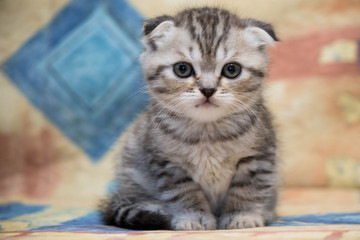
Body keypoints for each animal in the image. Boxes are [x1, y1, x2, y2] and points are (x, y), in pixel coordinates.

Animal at [101, 7, 278, 231]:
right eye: (182, 69)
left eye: (232, 69)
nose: (208, 89)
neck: (208, 134)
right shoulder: (166, 162)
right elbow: (185, 192)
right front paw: (194, 218)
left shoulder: (259, 157)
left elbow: (248, 190)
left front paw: (242, 216)